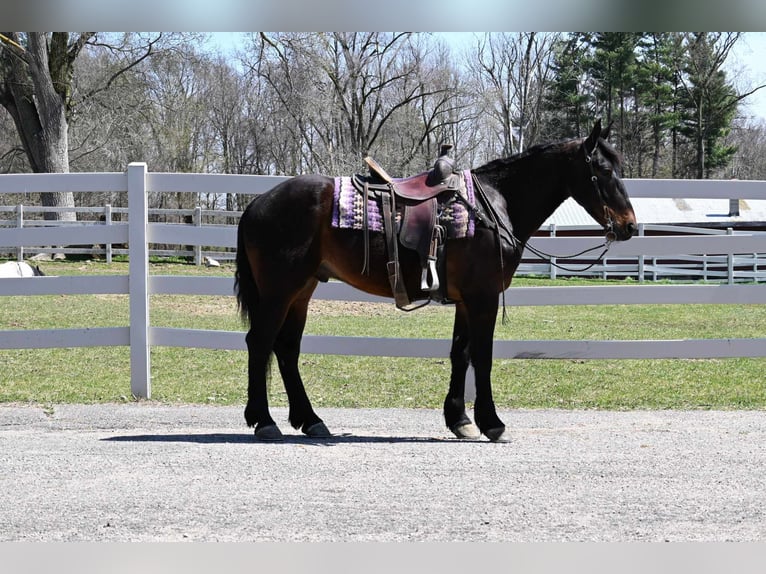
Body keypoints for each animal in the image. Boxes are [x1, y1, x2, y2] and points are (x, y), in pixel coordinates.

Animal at [232, 120, 636, 446]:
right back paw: (264, 421)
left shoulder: (466, 300)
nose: (629, 225)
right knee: (260, 342)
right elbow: (482, 357)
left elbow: (461, 354)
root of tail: (256, 204)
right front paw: (492, 423)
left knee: (286, 349)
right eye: (602, 169)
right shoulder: (483, 297)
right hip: (279, 291)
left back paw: (310, 420)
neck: (493, 206)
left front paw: (460, 420)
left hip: (301, 291)